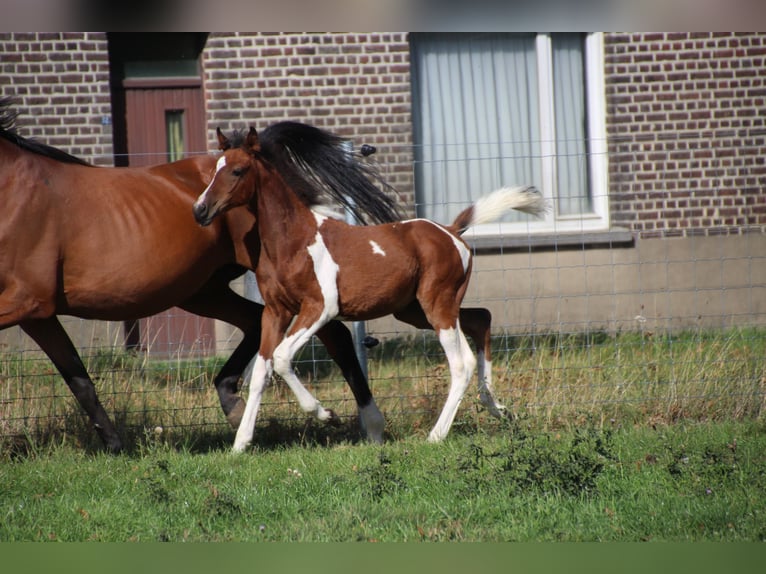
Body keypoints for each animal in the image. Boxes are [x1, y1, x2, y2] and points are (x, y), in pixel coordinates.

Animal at [0, 98, 403, 452]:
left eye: (236, 173)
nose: (200, 210)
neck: (12, 190)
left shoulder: (27, 301)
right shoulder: (39, 311)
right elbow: (79, 379)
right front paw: (115, 446)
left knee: (329, 333)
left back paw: (362, 424)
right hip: (204, 291)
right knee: (263, 324)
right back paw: (238, 407)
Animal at [193, 127, 547, 452]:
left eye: (238, 170)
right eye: (214, 170)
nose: (200, 210)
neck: (294, 241)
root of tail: (450, 231)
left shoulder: (320, 309)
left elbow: (280, 358)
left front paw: (326, 414)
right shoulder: (275, 312)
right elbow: (261, 371)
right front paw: (241, 443)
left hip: (437, 305)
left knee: (461, 363)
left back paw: (436, 435)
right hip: (416, 310)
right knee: (480, 321)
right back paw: (498, 408)